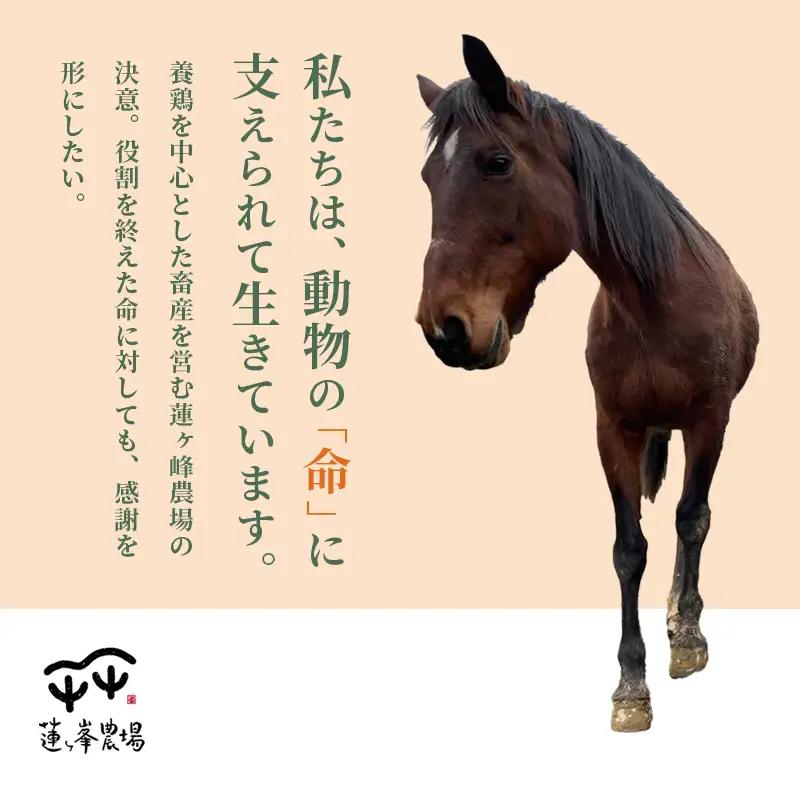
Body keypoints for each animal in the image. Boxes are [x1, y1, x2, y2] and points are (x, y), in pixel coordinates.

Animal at [415, 35, 759, 732]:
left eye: (497, 163)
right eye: (428, 177)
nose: (446, 330)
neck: (657, 305)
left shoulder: (710, 422)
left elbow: (691, 522)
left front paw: (688, 639)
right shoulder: (613, 430)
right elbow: (629, 549)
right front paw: (631, 685)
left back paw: (682, 615)